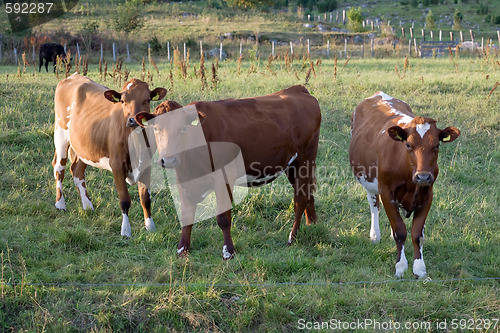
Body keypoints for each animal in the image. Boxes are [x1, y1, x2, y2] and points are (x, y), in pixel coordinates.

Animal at [52, 73, 167, 236]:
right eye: (123, 101)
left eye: (147, 99)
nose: (133, 120)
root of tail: (73, 76)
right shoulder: (117, 165)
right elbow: (124, 199)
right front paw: (125, 230)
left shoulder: (146, 164)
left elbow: (145, 198)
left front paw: (150, 227)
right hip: (60, 134)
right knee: (59, 168)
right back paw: (60, 203)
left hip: (84, 146)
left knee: (77, 171)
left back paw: (87, 205)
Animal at [134, 84, 320, 258]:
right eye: (156, 128)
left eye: (183, 128)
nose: (169, 160)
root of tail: (297, 89)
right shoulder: (184, 179)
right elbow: (187, 215)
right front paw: (182, 249)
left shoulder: (224, 177)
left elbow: (223, 218)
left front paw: (228, 252)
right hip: (292, 166)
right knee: (308, 194)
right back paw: (312, 225)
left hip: (305, 159)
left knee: (300, 199)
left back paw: (292, 237)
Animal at [348, 91, 460, 278]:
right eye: (408, 145)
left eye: (437, 145)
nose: (423, 176)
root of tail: (378, 93)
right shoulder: (387, 193)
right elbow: (399, 232)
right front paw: (400, 267)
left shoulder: (427, 195)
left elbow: (417, 233)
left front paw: (419, 268)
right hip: (369, 181)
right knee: (374, 204)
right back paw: (375, 235)